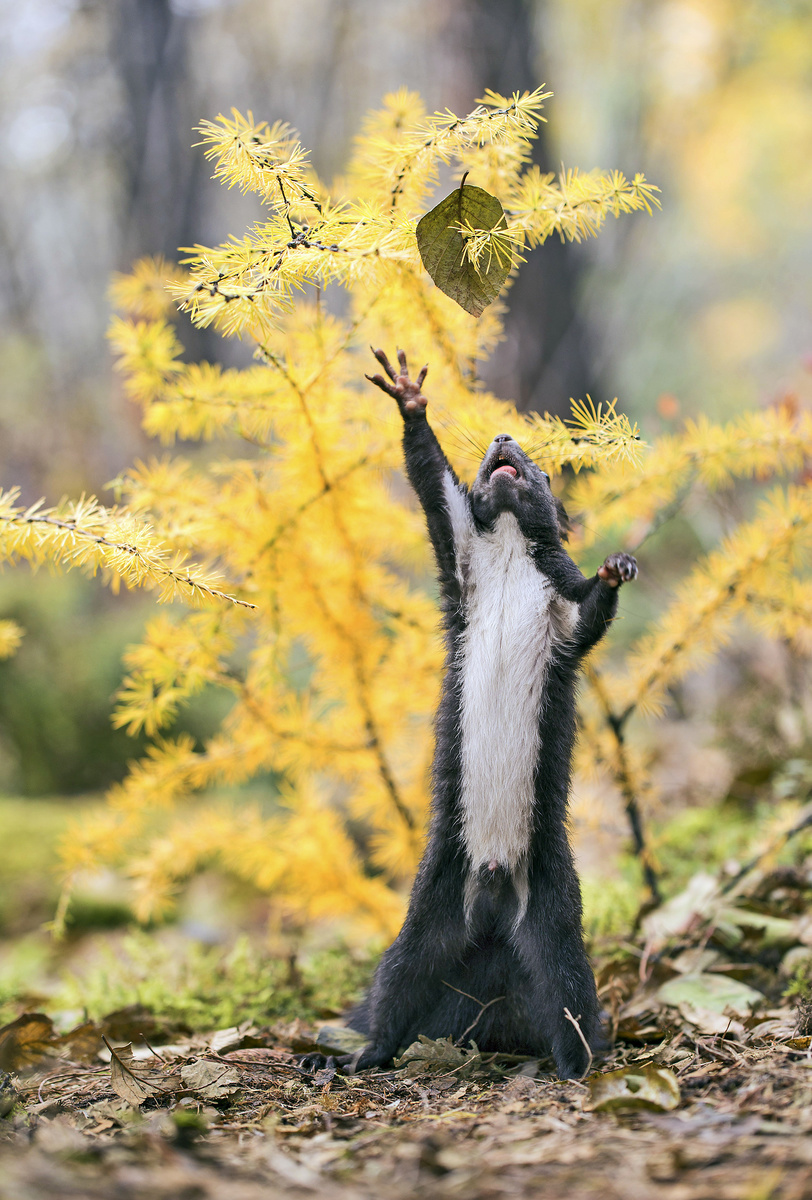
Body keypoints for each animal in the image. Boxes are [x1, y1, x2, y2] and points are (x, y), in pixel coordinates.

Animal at [301, 348, 638, 1080]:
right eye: (492, 452)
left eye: (540, 465)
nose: (504, 439)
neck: (510, 560)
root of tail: (489, 904)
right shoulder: (458, 554)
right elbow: (433, 484)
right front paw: (409, 397)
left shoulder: (562, 613)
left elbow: (590, 615)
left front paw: (617, 566)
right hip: (428, 912)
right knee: (397, 992)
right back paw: (356, 1058)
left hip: (554, 913)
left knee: (570, 999)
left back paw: (580, 1067)